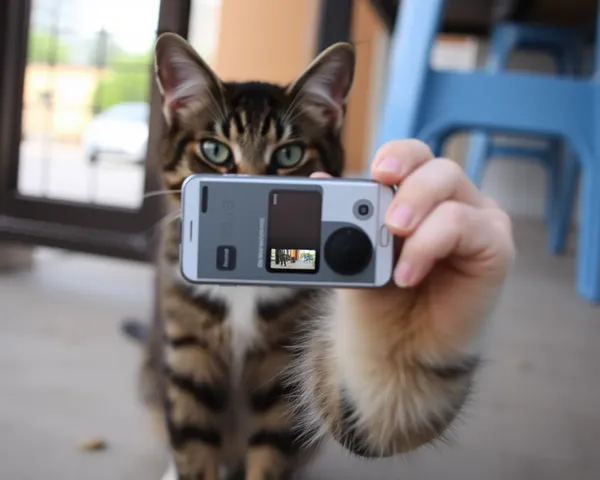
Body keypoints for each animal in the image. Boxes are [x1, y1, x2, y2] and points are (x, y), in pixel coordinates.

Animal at [134, 32, 480, 480]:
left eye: (288, 155)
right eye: (215, 150)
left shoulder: (284, 372)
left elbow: (274, 451)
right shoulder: (188, 353)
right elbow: (193, 445)